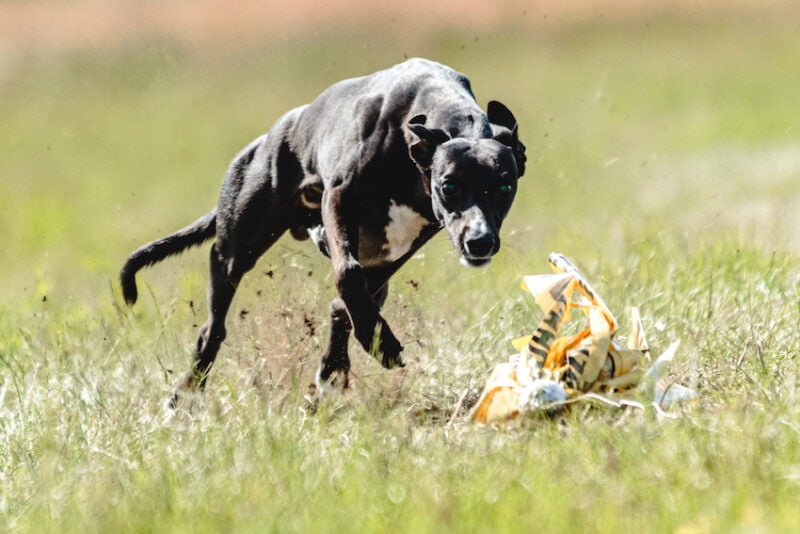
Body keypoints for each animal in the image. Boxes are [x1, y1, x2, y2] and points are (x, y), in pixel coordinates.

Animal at [120, 58, 524, 408]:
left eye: (505, 187)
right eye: (449, 186)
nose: (480, 242)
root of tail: (268, 138)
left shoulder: (414, 237)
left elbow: (349, 295)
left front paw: (363, 345)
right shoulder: (339, 198)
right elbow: (347, 273)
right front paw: (381, 344)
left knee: (345, 305)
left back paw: (332, 373)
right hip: (234, 252)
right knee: (213, 329)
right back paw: (184, 400)